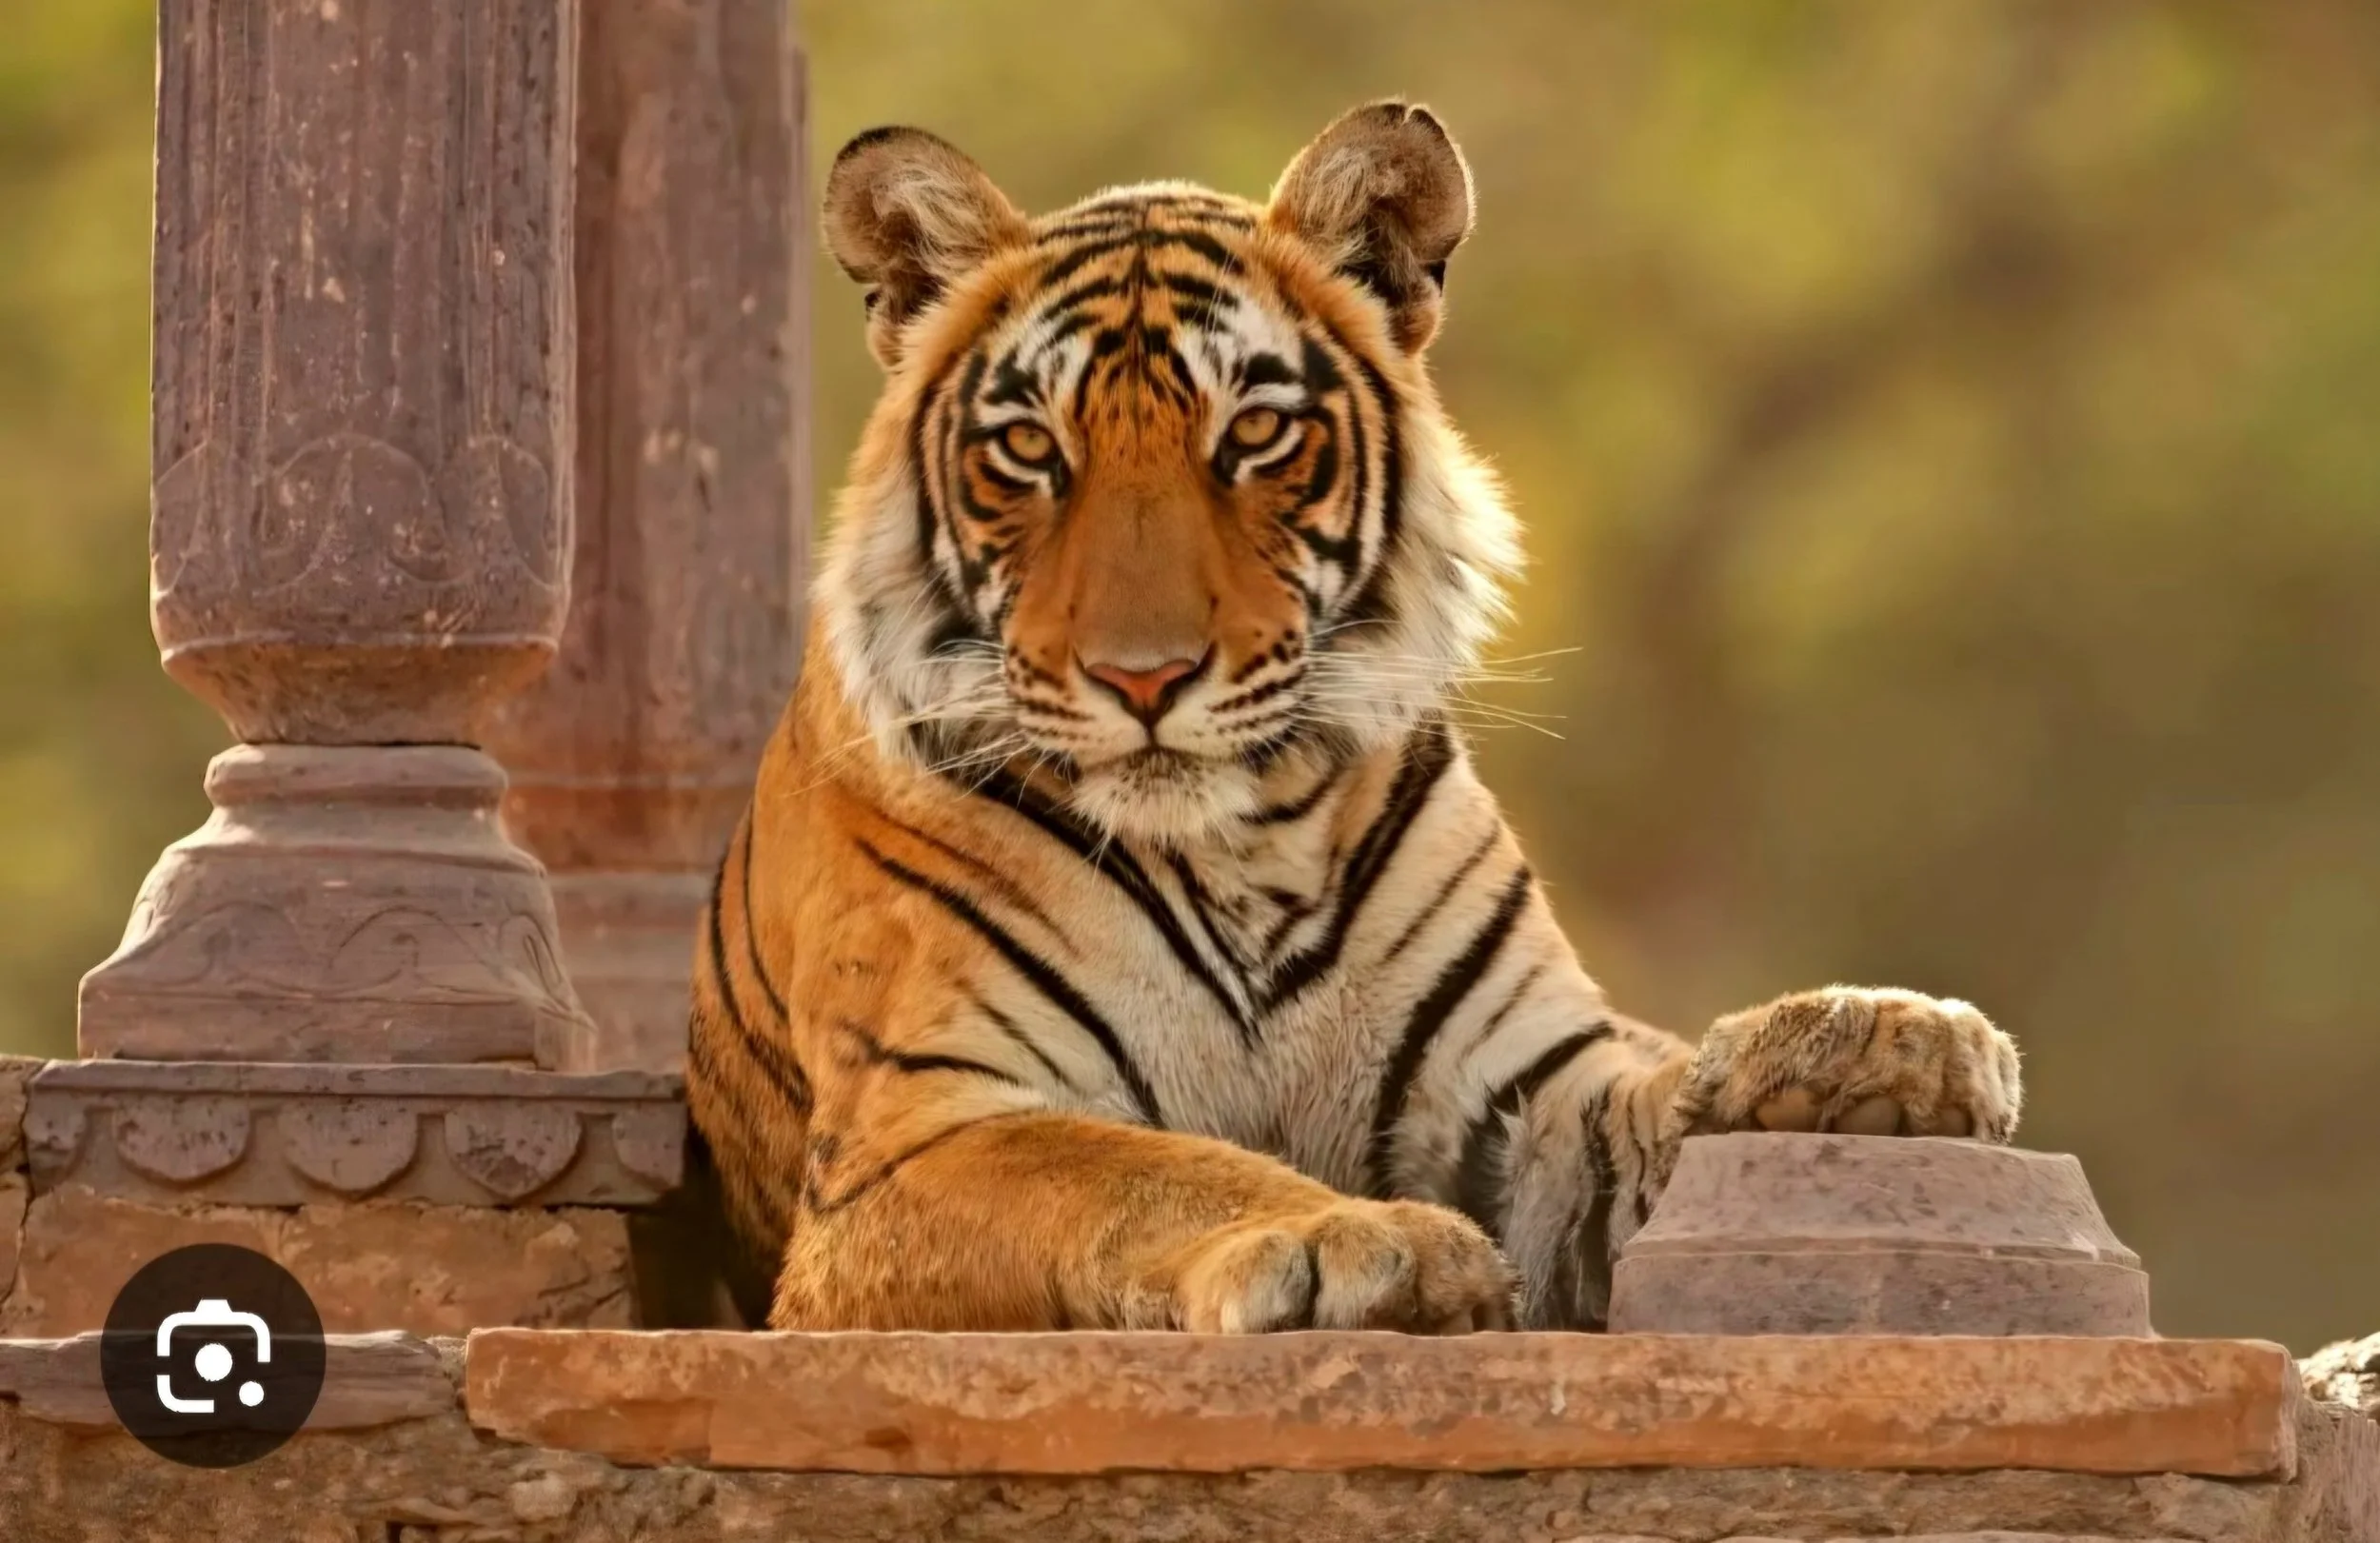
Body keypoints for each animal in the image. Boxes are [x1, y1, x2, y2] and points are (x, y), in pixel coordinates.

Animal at [686, 100, 2023, 1334]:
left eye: (1255, 432)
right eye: (1027, 448)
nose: (1143, 679)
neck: (1240, 850)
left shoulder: (1514, 1094)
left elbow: (1636, 1109)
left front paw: (1884, 1040)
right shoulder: (919, 1136)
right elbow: (1146, 1170)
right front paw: (1357, 1239)